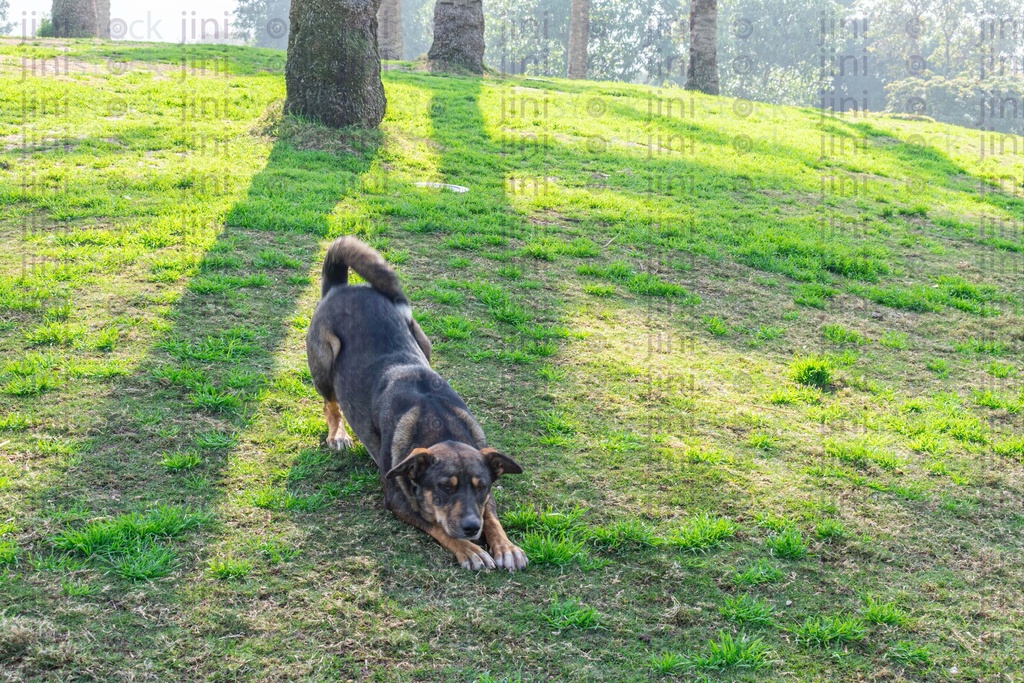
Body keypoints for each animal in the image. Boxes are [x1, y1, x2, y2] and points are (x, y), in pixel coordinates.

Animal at [303, 236, 528, 573]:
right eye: (445, 487)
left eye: (481, 486)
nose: (471, 528)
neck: (440, 421)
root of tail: (341, 287)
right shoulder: (396, 499)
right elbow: (436, 525)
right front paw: (470, 550)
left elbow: (491, 514)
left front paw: (505, 546)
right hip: (324, 363)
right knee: (331, 405)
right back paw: (338, 434)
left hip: (422, 338)